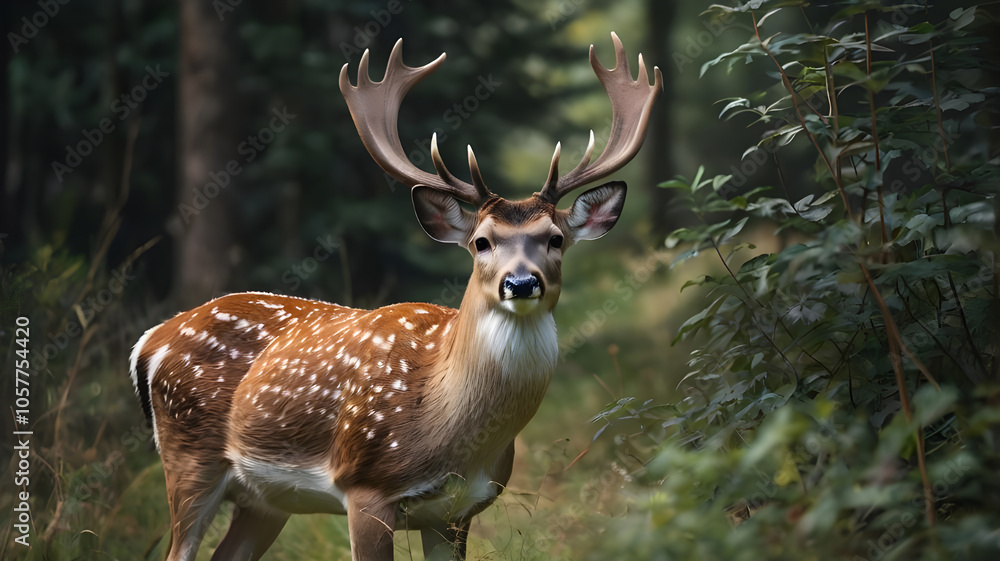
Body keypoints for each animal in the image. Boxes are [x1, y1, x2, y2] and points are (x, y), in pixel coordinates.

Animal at [130, 32, 660, 561]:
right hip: (189, 455)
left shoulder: (456, 511)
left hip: (263, 500)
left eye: (555, 239)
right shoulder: (365, 487)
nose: (522, 283)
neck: (448, 429)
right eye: (481, 242)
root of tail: (150, 339)